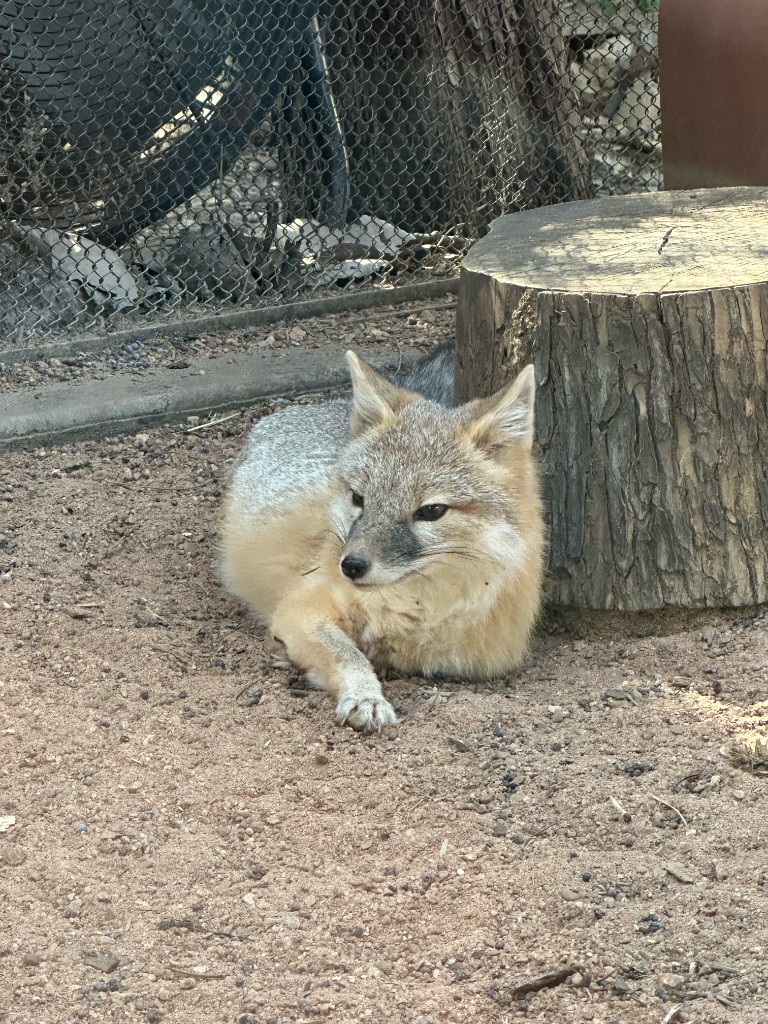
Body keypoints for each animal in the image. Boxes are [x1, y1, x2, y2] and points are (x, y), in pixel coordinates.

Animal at [220, 345, 545, 731]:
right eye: (359, 498)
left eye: (431, 511)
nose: (351, 566)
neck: (415, 604)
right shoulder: (301, 608)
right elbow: (347, 654)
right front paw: (364, 695)